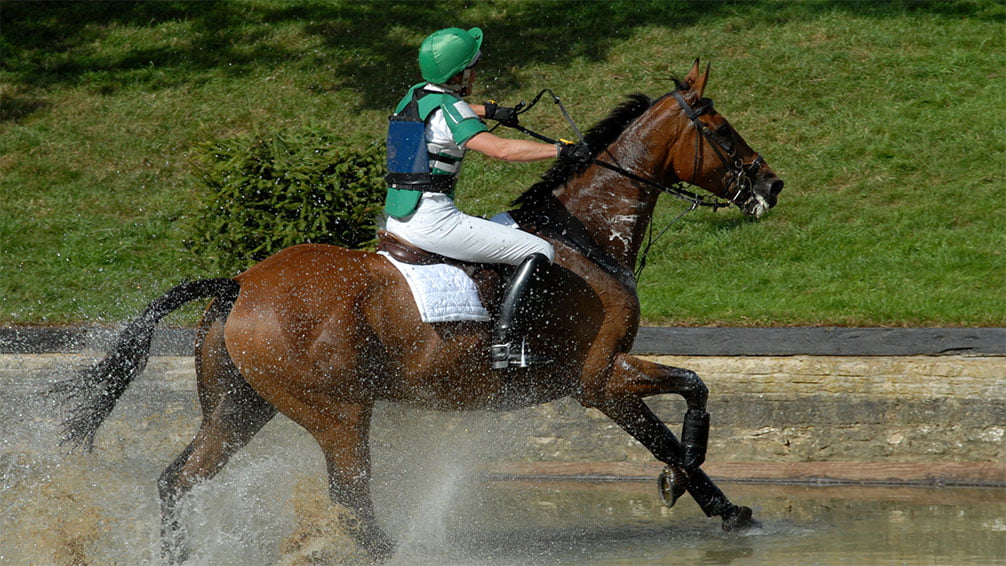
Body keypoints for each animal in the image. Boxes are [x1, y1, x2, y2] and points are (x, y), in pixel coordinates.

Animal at [57, 62, 784, 562]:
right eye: (720, 131)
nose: (771, 184)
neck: (584, 236)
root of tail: (240, 282)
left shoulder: (601, 382)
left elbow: (670, 422)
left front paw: (725, 509)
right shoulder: (600, 377)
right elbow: (689, 398)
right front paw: (683, 478)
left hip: (239, 407)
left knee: (178, 481)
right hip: (339, 412)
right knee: (350, 499)